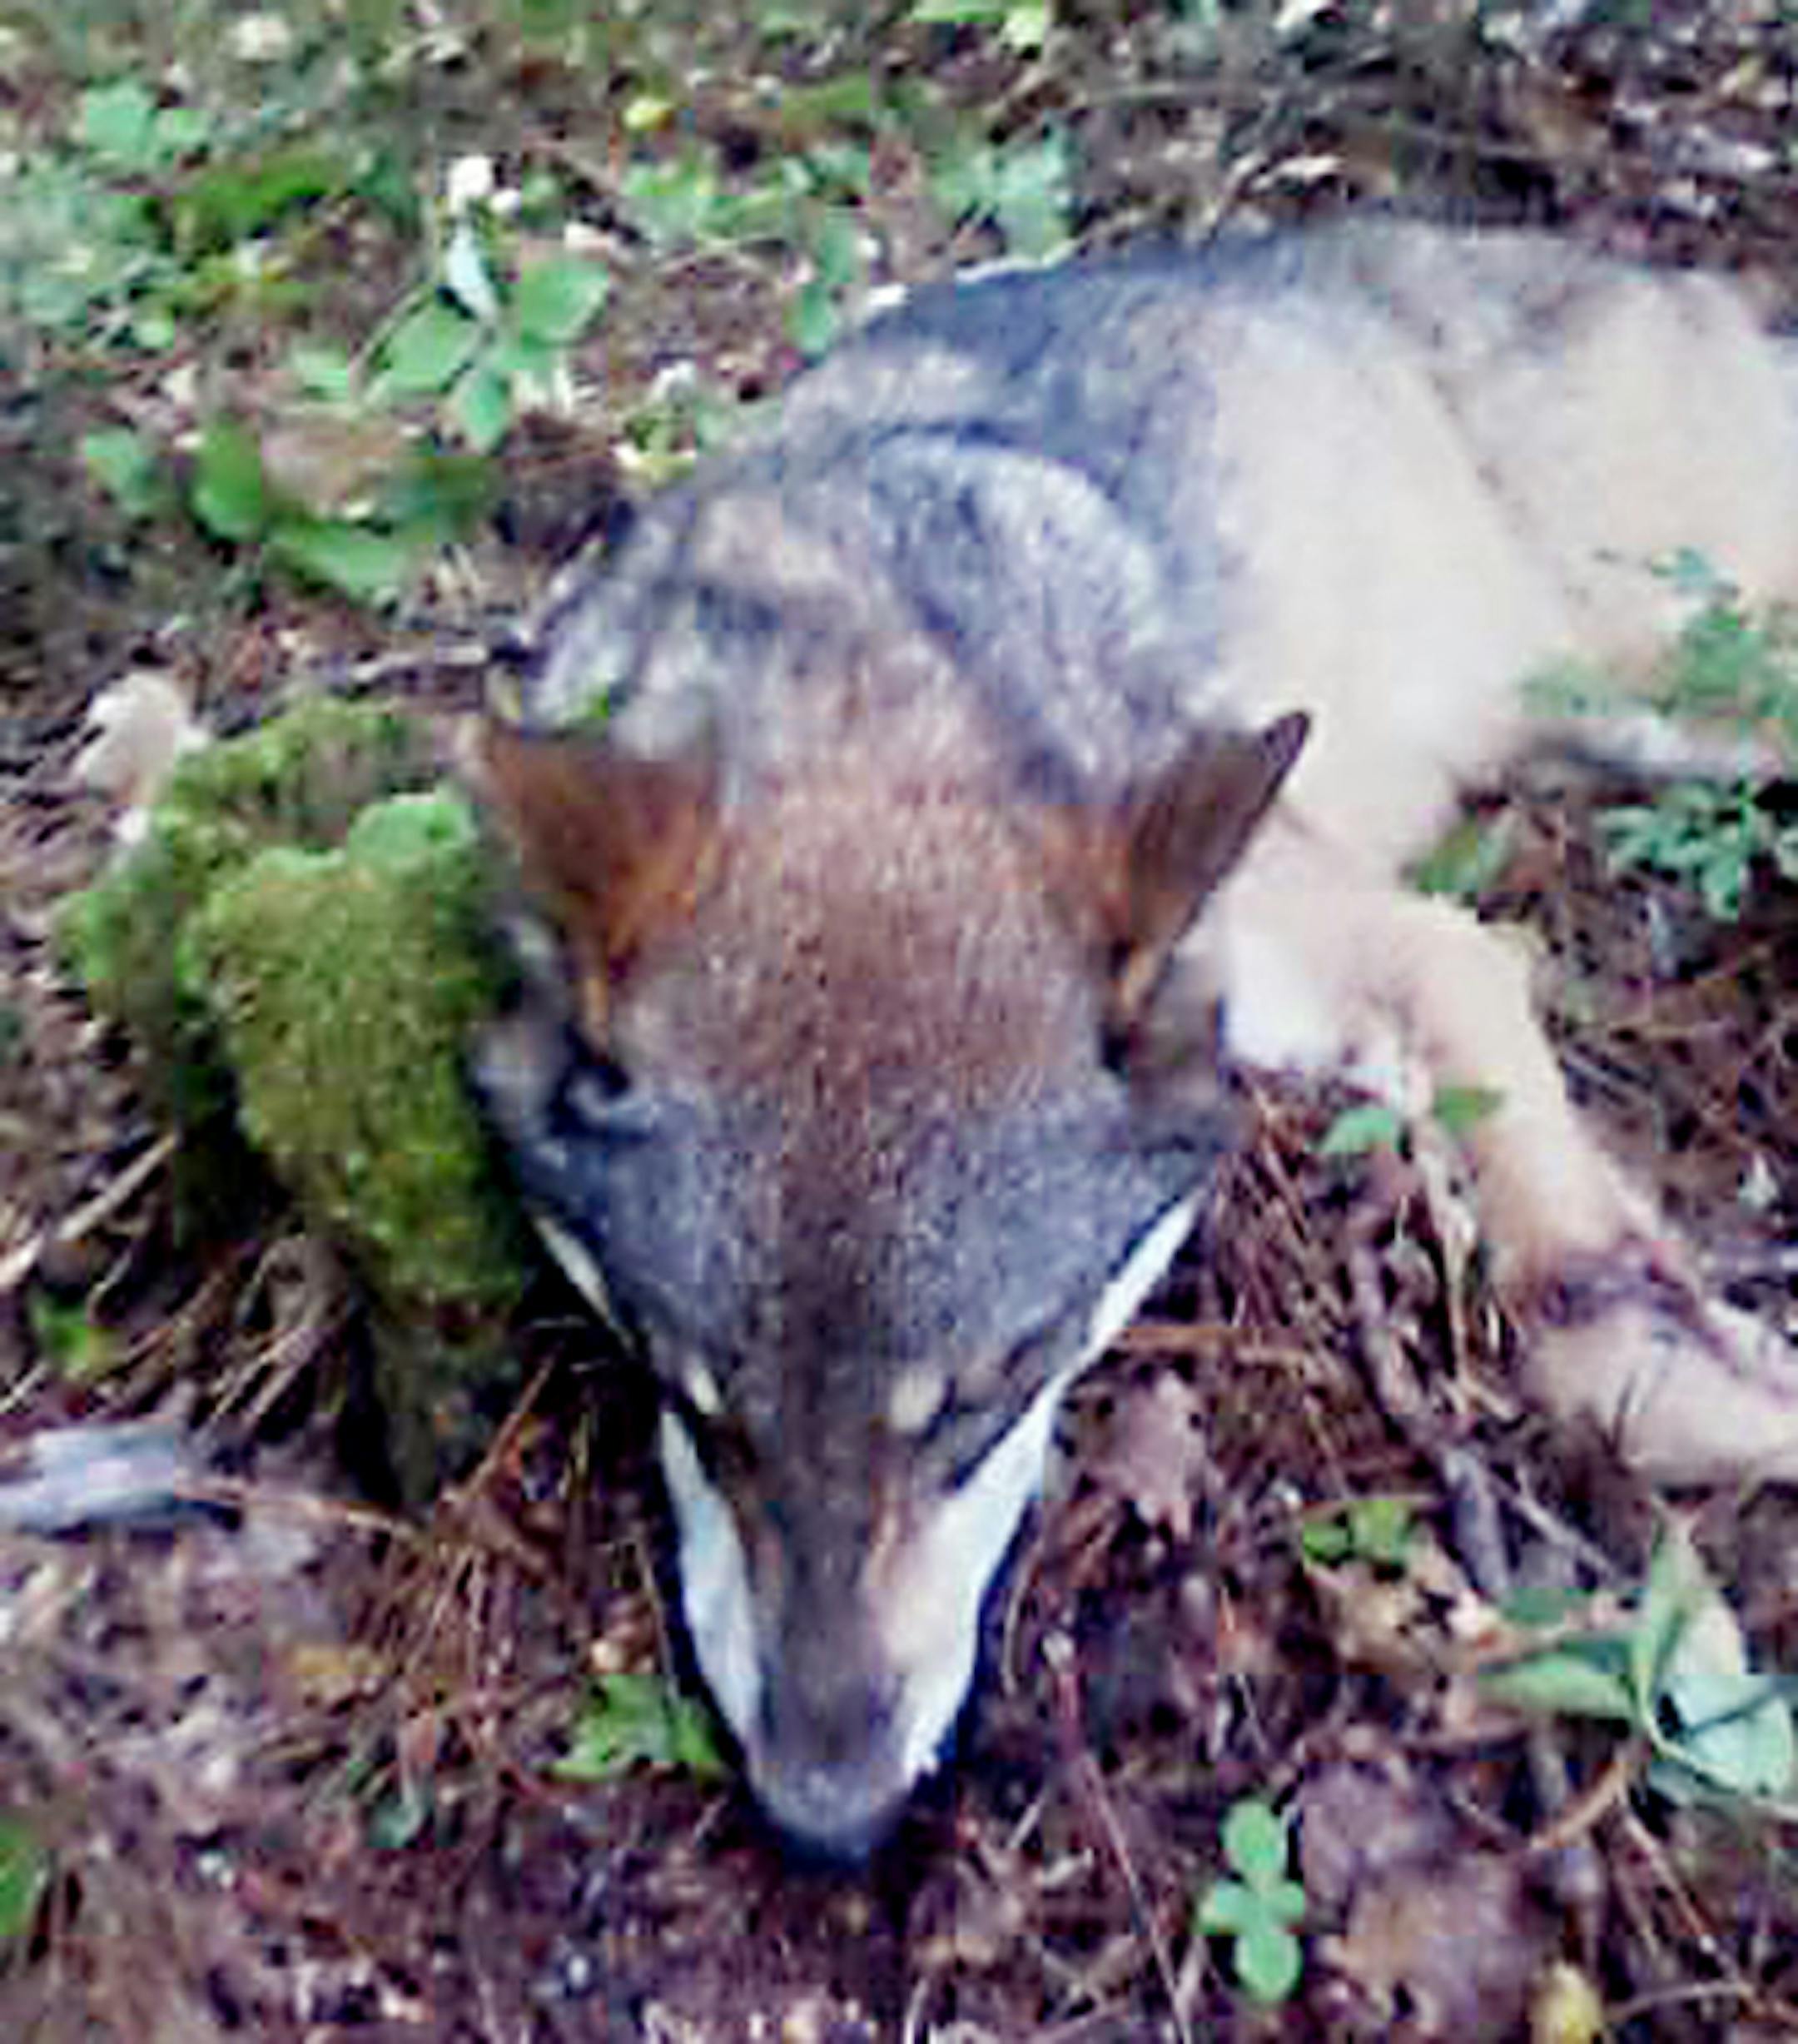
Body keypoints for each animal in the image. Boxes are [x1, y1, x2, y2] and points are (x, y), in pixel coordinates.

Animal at [472, 220, 1798, 1857]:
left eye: (987, 1396)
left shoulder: (1394, 940)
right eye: (698, 1404)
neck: (880, 696)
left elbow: (1574, 1276)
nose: (830, 1823)